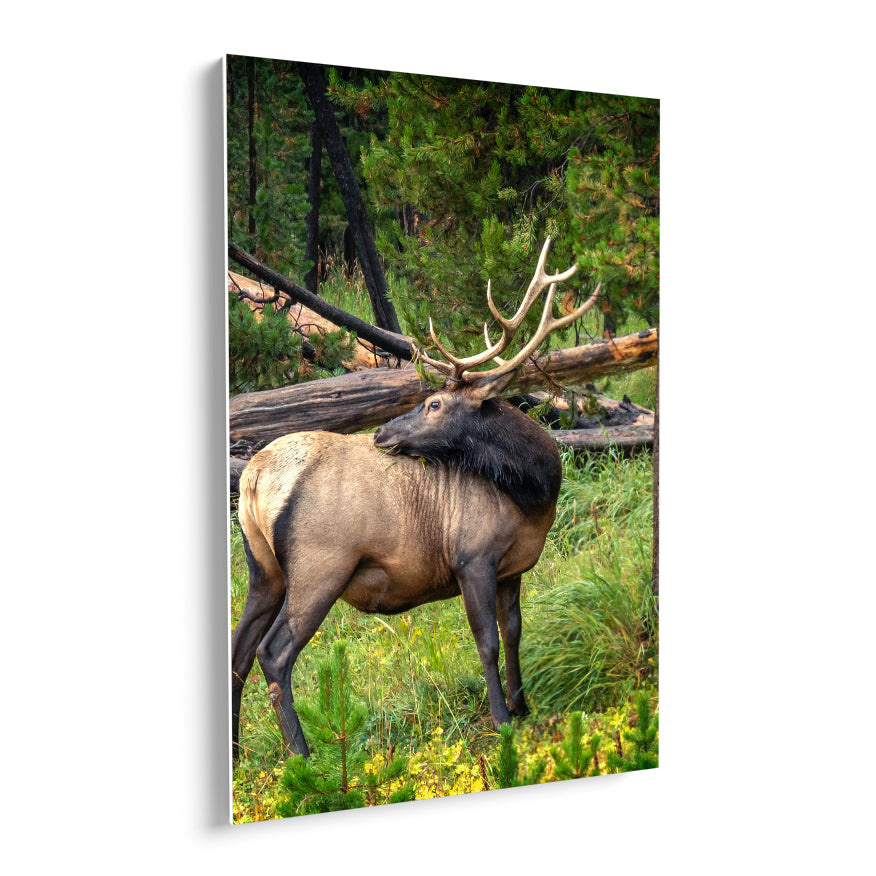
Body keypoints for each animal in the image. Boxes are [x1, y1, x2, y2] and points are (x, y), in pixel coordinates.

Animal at [231, 238, 601, 759]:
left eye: (434, 404)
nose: (381, 433)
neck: (534, 495)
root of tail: (253, 476)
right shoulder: (472, 557)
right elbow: (486, 641)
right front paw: (502, 719)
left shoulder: (512, 568)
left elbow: (514, 633)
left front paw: (524, 705)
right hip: (319, 565)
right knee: (274, 653)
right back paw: (302, 756)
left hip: (264, 569)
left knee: (239, 650)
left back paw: (237, 753)